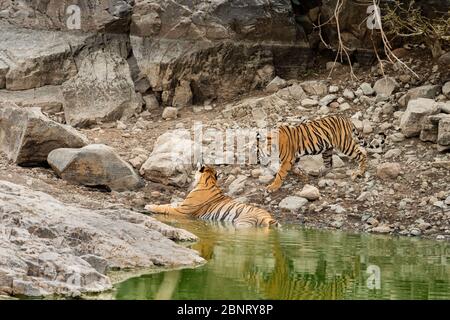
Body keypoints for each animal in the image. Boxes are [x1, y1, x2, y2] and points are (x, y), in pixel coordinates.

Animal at [146, 164, 280, 229]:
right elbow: (169, 204)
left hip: (242, 223)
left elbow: (166, 208)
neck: (209, 181)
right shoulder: (182, 206)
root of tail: (268, 217)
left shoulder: (182, 211)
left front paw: (149, 206)